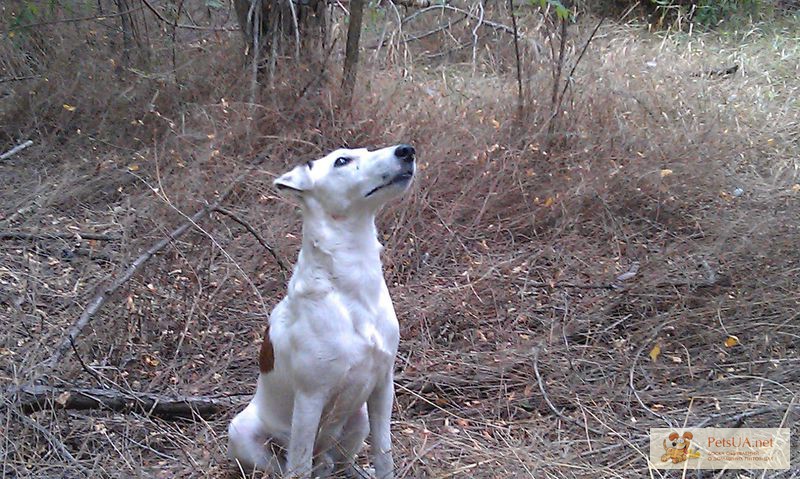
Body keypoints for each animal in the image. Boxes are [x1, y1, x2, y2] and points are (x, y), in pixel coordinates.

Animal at [228, 144, 416, 478]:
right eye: (342, 161)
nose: (406, 150)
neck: (351, 286)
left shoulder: (383, 385)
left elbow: (384, 454)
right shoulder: (310, 398)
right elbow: (299, 465)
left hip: (359, 418)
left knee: (341, 463)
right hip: (242, 433)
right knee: (289, 467)